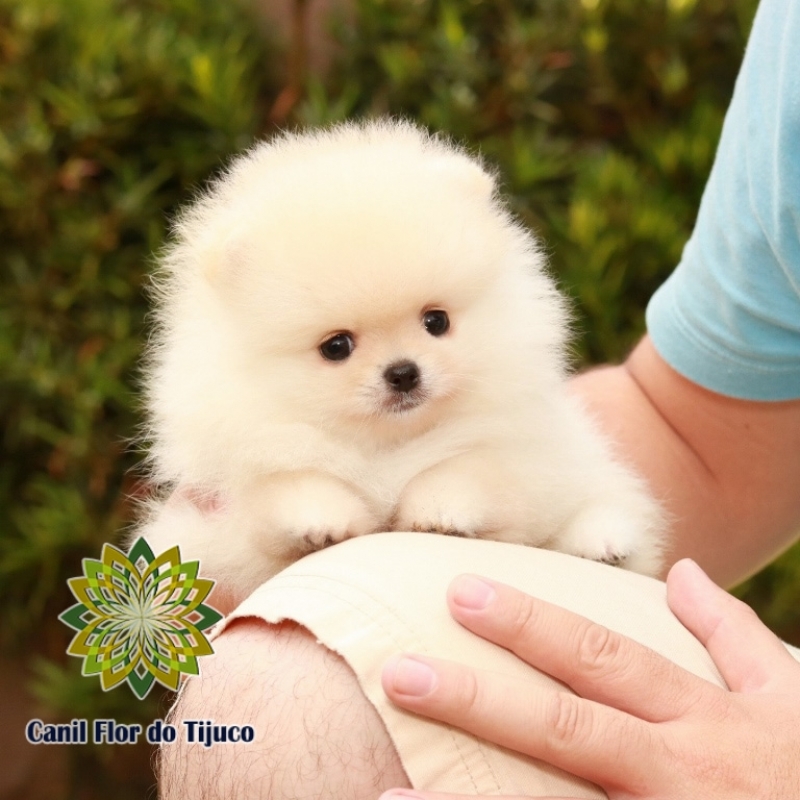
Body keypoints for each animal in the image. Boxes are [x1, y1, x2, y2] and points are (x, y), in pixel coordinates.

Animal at [136, 117, 664, 608]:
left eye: (436, 321)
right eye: (336, 347)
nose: (403, 372)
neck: (387, 449)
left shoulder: (522, 453)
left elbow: (469, 469)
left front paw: (439, 511)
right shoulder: (229, 490)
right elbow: (285, 487)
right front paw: (317, 520)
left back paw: (602, 543)